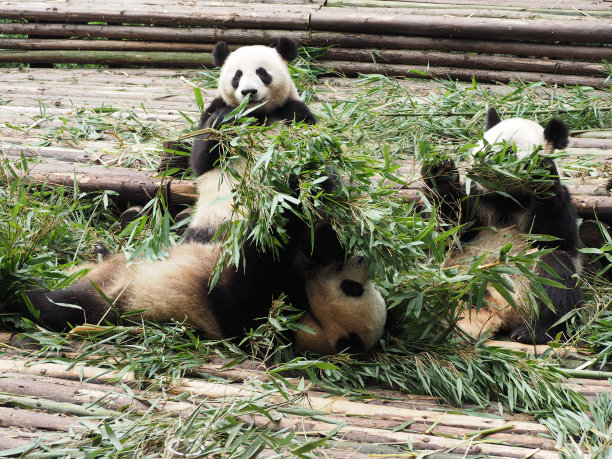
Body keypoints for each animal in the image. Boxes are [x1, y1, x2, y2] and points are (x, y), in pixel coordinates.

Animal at [25, 177, 388, 356]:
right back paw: (100, 248)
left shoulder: (257, 315)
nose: (360, 260)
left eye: (352, 289)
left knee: (63, 305)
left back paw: (22, 286)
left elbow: (255, 265)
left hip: (115, 298)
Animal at [420, 108, 584, 344]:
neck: (506, 199)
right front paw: (441, 173)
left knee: (556, 275)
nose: (483, 168)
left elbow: (558, 236)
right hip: (449, 275)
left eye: (508, 153)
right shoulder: (479, 200)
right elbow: (450, 229)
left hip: (530, 292)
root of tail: (497, 310)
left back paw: (534, 332)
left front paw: (542, 173)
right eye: (482, 147)